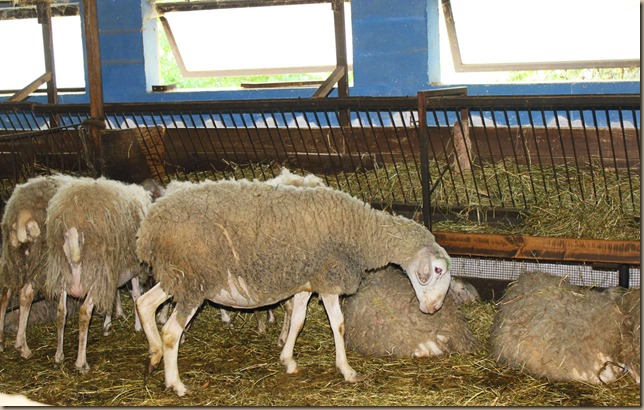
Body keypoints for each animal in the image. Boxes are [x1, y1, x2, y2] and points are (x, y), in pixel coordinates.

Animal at [0, 174, 77, 358]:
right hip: (43, 262)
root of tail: (22, 210)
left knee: (5, 295)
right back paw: (23, 346)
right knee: (25, 293)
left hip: (12, 258)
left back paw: (6, 342)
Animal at [44, 177, 152, 372]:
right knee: (84, 312)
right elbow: (136, 295)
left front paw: (108, 324)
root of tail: (73, 223)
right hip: (96, 272)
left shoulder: (112, 272)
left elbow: (113, 297)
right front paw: (138, 326)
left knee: (61, 311)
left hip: (63, 272)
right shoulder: (131, 267)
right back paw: (81, 363)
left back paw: (58, 356)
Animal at [135, 178, 452, 396]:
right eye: (437, 270)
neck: (362, 233)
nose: (434, 308)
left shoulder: (306, 284)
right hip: (194, 281)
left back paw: (153, 356)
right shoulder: (328, 280)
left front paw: (287, 360)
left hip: (178, 276)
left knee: (145, 303)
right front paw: (347, 371)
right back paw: (176, 383)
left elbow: (298, 321)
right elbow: (338, 325)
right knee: (171, 332)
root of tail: (150, 227)